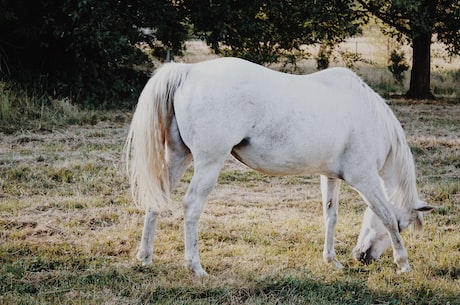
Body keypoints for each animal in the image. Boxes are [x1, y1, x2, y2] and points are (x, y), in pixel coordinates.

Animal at [124, 57, 434, 276]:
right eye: (405, 226)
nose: (362, 257)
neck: (368, 117)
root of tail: (189, 71)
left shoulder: (330, 176)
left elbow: (330, 217)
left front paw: (332, 261)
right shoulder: (365, 180)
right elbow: (385, 216)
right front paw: (403, 263)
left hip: (179, 157)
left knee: (157, 200)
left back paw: (145, 257)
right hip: (208, 163)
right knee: (191, 206)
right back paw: (196, 267)